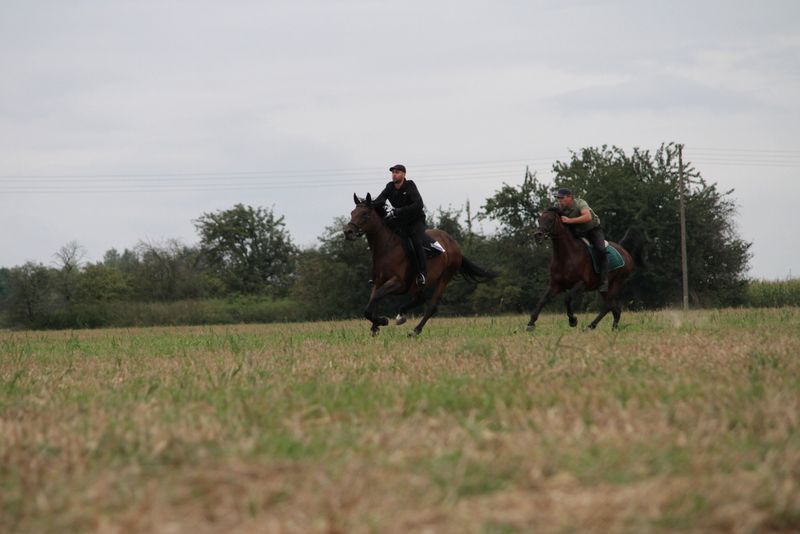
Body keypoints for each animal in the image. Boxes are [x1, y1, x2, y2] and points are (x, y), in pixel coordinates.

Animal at [344, 193, 494, 338]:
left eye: (365, 214)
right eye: (352, 212)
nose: (348, 232)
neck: (387, 247)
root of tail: (454, 244)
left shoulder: (398, 283)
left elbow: (376, 298)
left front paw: (383, 321)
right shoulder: (378, 281)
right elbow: (372, 302)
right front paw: (375, 327)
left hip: (444, 278)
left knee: (431, 306)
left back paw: (415, 330)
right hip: (416, 284)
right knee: (420, 298)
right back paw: (401, 315)